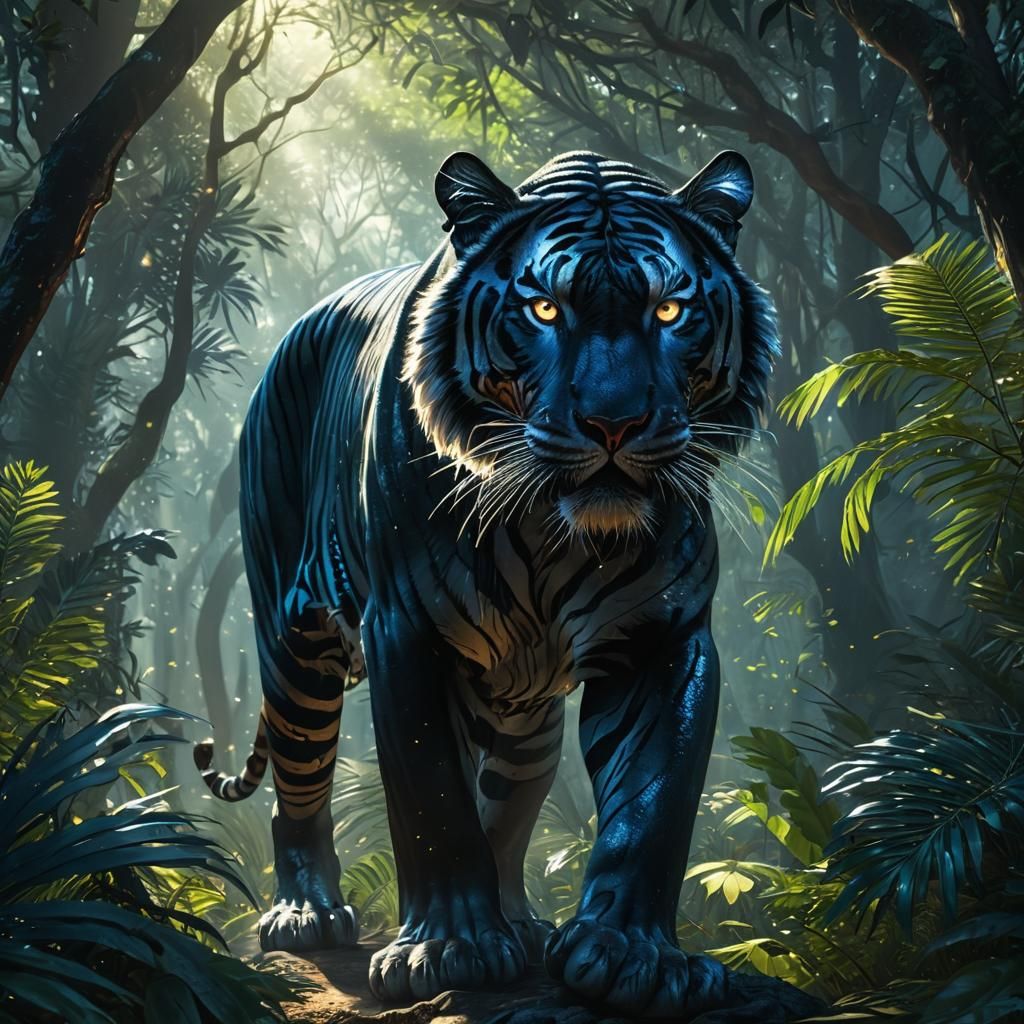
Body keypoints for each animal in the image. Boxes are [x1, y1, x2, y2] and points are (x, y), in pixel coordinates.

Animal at [194, 149, 778, 1018]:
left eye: (671, 310)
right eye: (544, 309)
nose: (614, 423)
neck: (551, 528)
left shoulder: (667, 637)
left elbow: (652, 802)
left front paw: (634, 957)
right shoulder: (405, 632)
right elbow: (431, 796)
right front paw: (447, 950)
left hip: (524, 718)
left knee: (508, 807)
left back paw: (520, 921)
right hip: (294, 652)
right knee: (299, 788)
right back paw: (306, 914)